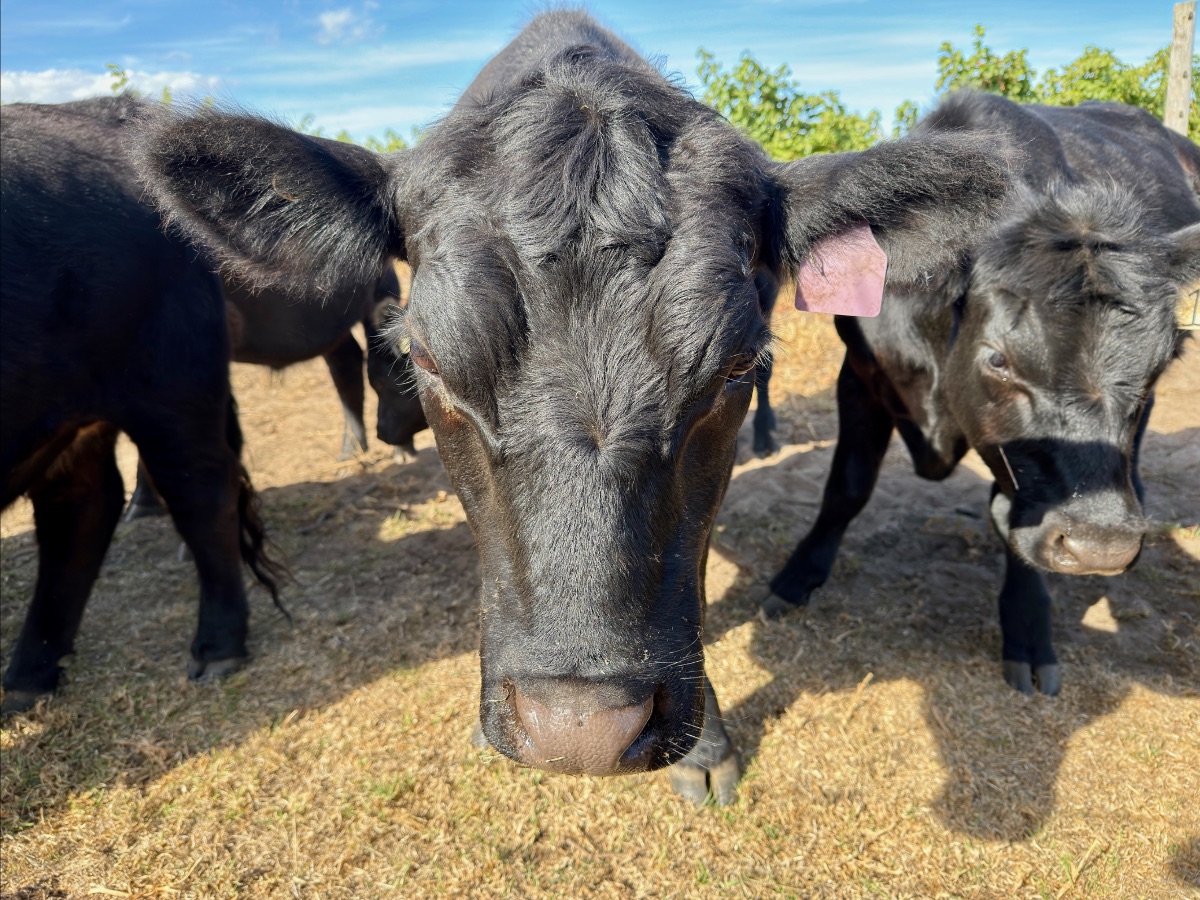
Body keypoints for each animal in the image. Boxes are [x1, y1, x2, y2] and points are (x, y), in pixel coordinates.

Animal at [760, 92, 1200, 696]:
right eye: (997, 358)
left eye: (1164, 360)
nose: (1101, 544)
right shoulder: (861, 376)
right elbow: (846, 488)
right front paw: (796, 577)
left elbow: (1014, 521)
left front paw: (1028, 631)